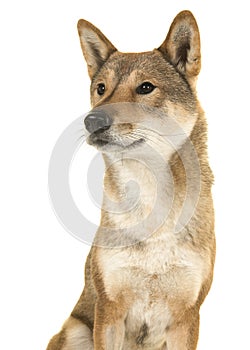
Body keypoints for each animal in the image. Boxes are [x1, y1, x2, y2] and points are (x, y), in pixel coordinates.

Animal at [46, 9, 215, 348]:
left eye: (146, 88)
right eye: (100, 88)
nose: (92, 121)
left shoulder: (187, 316)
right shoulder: (109, 309)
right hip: (77, 329)